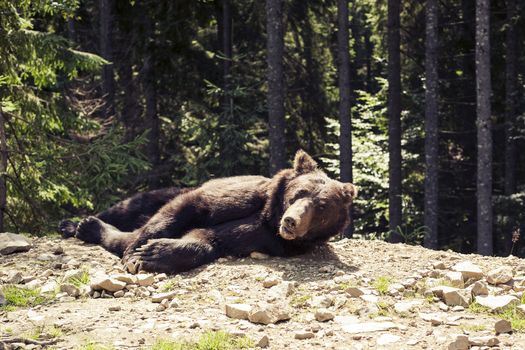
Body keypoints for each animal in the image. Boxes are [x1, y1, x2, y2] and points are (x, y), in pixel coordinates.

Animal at [60, 150, 356, 274]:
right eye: (298, 193)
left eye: (321, 207)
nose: (291, 221)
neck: (269, 217)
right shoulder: (238, 195)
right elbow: (185, 209)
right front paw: (137, 251)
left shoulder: (264, 239)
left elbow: (206, 240)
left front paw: (152, 254)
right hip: (163, 192)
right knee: (132, 207)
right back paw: (77, 224)